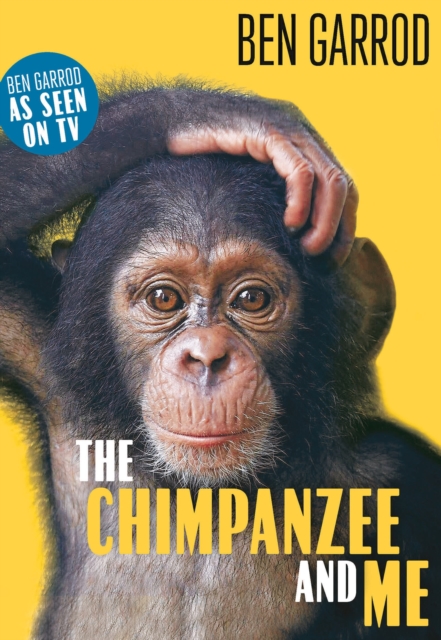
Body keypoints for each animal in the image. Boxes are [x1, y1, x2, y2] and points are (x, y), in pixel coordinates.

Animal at [0, 82, 439, 640]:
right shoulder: (41, 349)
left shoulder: (405, 482)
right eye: (163, 298)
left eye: (251, 299)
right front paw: (226, 120)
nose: (207, 356)